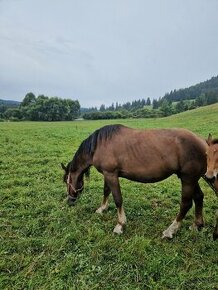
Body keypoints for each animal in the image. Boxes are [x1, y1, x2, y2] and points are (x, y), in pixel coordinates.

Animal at [61, 123, 209, 239]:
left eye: (66, 181)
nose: (70, 201)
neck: (99, 145)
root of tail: (204, 143)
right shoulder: (107, 174)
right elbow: (106, 191)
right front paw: (102, 208)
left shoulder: (111, 174)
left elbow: (118, 199)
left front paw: (120, 224)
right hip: (190, 178)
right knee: (199, 197)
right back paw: (197, 225)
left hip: (188, 179)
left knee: (186, 203)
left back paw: (170, 231)